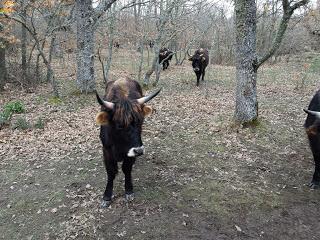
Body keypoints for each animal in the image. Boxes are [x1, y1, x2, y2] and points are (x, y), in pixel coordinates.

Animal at [94, 78, 160, 207]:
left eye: (141, 121)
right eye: (120, 125)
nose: (139, 150)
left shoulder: (130, 153)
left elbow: (127, 169)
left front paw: (129, 190)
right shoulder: (106, 150)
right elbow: (111, 172)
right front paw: (107, 196)